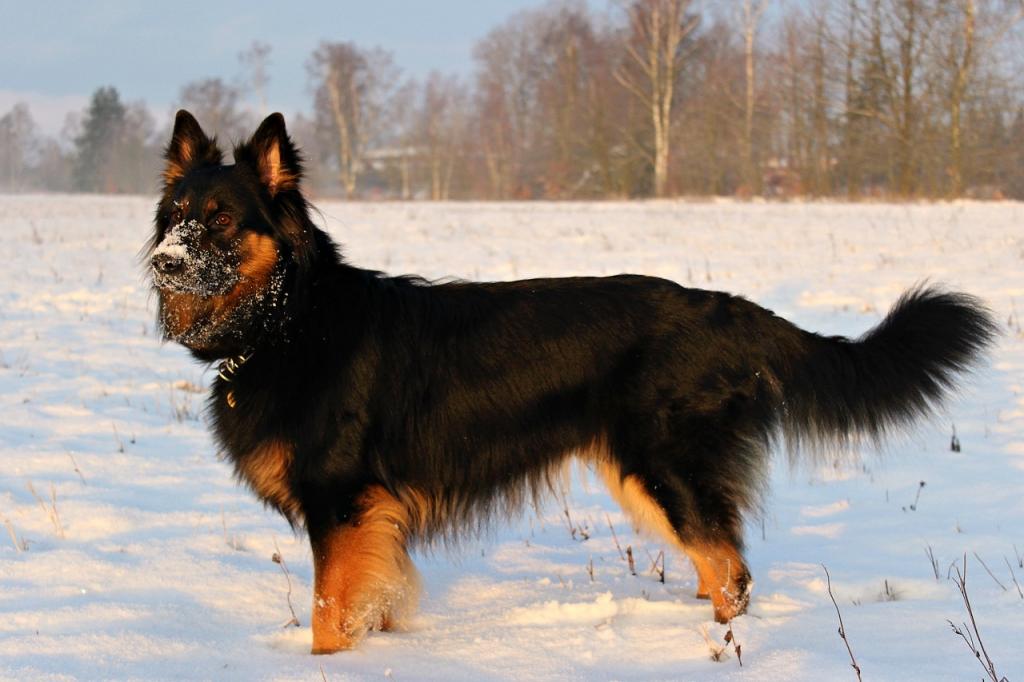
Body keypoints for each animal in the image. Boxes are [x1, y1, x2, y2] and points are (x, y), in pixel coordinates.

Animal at [147, 110, 996, 654]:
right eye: (175, 215)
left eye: (221, 220)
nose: (162, 261)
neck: (290, 321)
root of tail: (724, 308)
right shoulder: (373, 518)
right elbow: (372, 600)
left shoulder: (342, 503)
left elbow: (329, 613)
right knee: (718, 563)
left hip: (666, 470)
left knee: (734, 570)